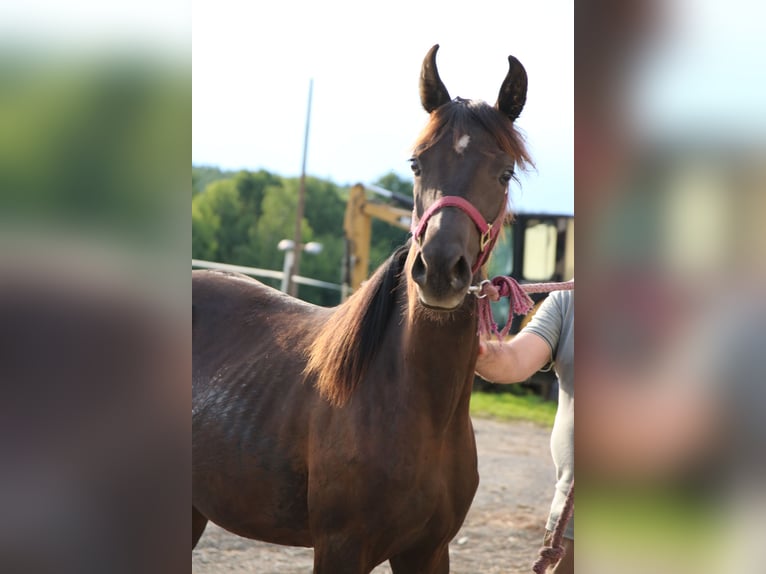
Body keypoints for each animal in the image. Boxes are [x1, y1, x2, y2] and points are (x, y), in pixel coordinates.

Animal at [192, 46, 536, 574]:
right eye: (416, 164)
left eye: (504, 173)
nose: (440, 269)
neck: (414, 403)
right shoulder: (340, 549)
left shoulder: (428, 551)